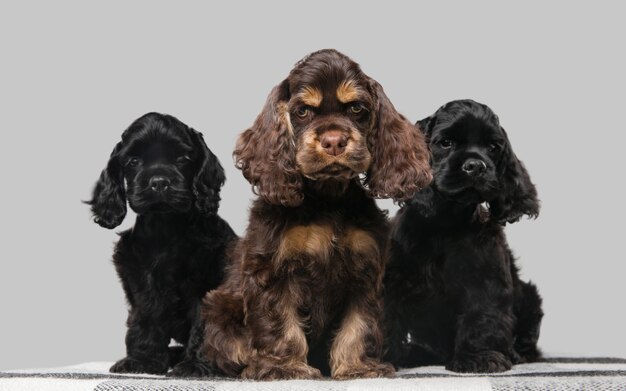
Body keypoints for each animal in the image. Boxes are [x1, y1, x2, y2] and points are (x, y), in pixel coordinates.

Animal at [86, 112, 235, 376]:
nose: (158, 182)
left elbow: (203, 323)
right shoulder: (143, 279)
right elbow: (146, 319)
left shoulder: (207, 282)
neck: (167, 226)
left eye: (182, 159)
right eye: (133, 161)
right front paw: (142, 362)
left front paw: (196, 366)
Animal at [173, 48, 432, 380]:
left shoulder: (365, 271)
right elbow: (280, 325)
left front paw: (357, 367)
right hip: (220, 308)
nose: (334, 141)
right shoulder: (273, 270)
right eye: (303, 112)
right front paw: (284, 368)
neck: (327, 200)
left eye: (356, 108)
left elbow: (358, 325)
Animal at [382, 99, 540, 374]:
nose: (476, 166)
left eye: (493, 147)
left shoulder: (485, 281)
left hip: (530, 297)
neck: (446, 222)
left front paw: (479, 357)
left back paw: (515, 353)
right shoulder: (394, 279)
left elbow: (481, 318)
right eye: (446, 142)